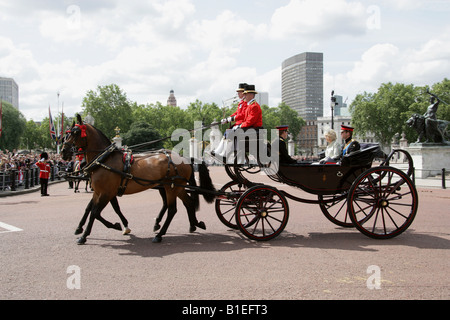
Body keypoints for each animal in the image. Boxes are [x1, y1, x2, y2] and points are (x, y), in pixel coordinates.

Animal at [61, 115, 216, 245]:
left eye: (75, 132)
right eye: (67, 133)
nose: (63, 152)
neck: (104, 159)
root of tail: (184, 158)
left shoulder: (107, 192)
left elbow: (95, 212)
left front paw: (85, 235)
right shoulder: (99, 192)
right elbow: (91, 209)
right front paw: (113, 225)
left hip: (171, 187)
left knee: (172, 209)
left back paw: (160, 234)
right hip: (176, 187)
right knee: (187, 202)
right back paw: (194, 224)